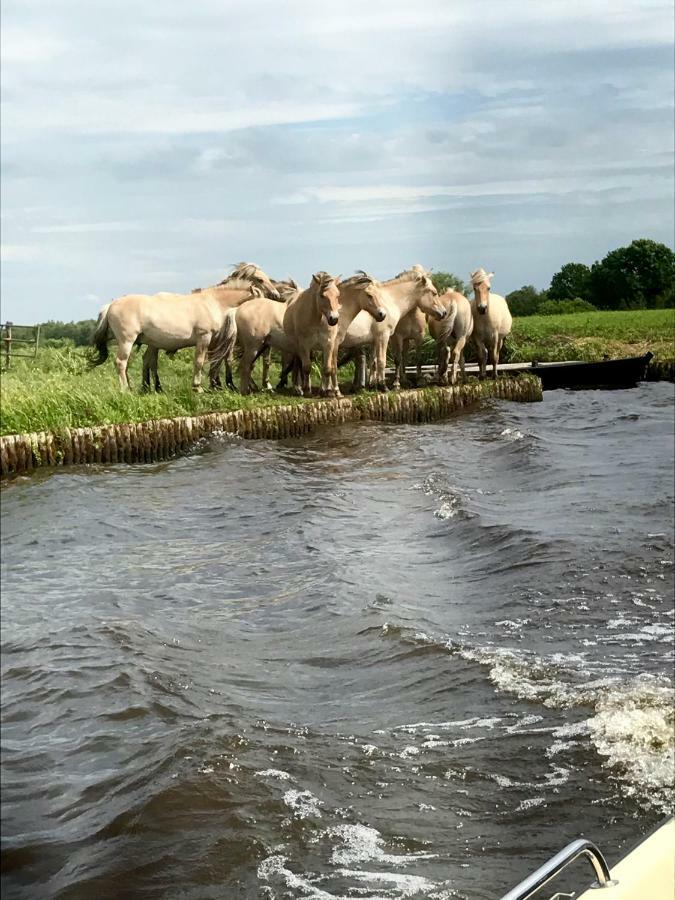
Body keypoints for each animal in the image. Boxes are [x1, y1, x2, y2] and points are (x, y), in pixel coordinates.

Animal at [92, 262, 278, 392]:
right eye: (260, 279)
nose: (276, 295)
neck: (214, 301)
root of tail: (111, 305)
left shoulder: (214, 340)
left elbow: (214, 362)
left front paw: (214, 386)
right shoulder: (204, 337)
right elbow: (200, 362)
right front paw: (198, 387)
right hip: (127, 341)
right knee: (121, 362)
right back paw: (126, 390)